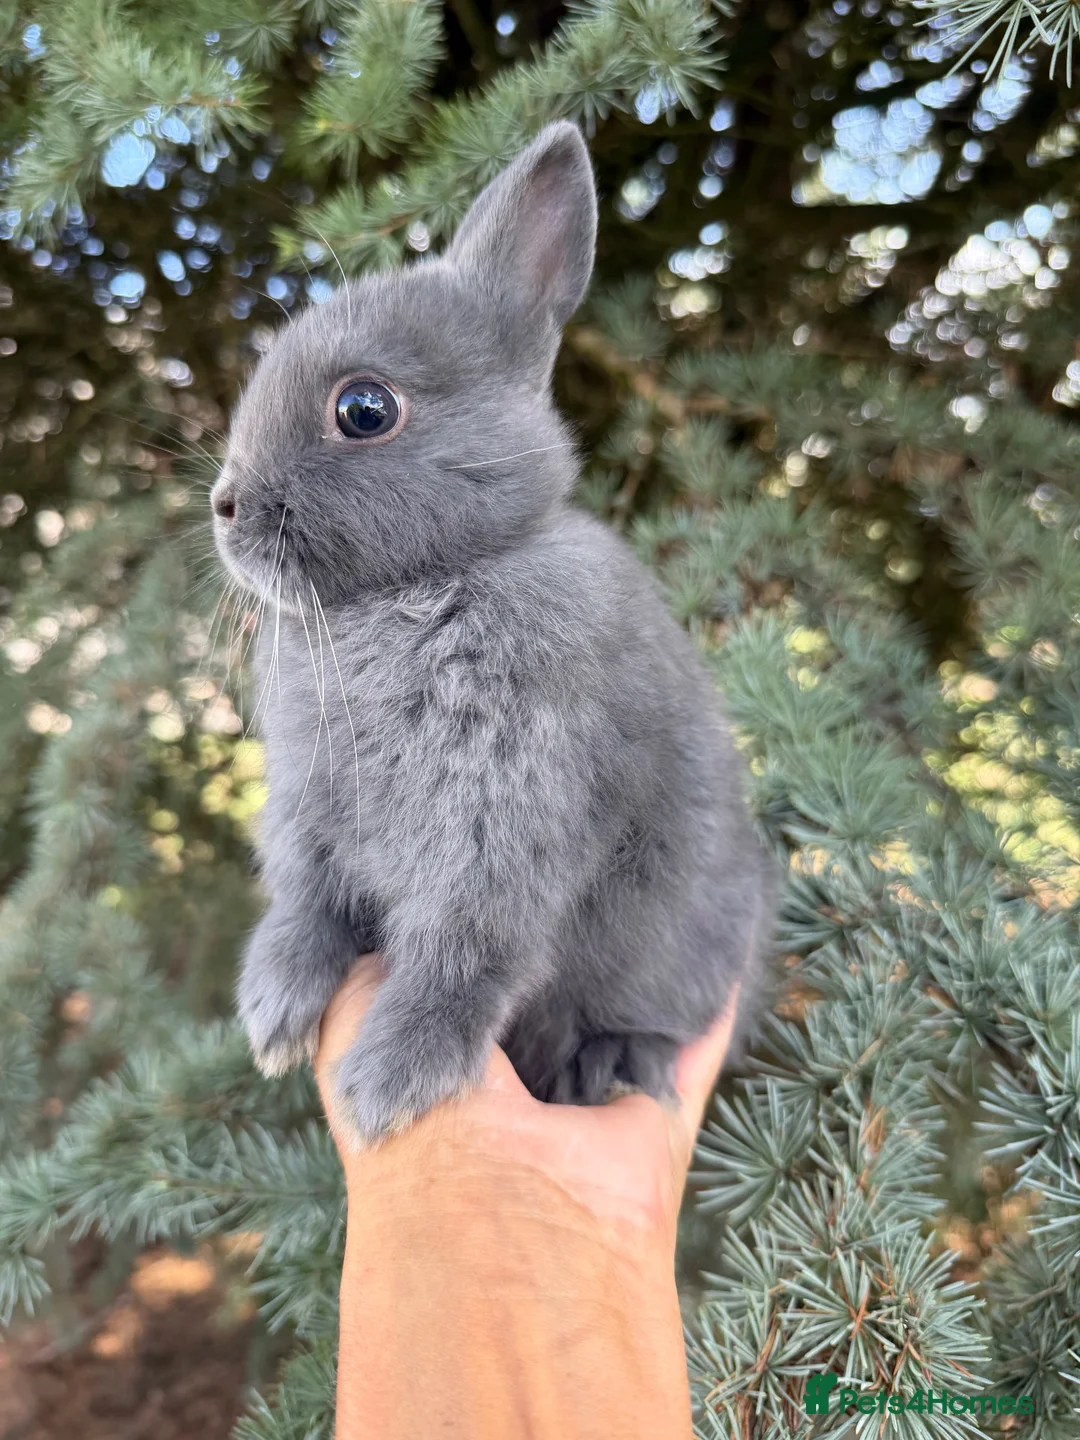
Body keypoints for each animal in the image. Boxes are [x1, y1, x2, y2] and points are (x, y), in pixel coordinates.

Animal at [211, 120, 774, 1143]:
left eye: (364, 409)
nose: (223, 506)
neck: (429, 579)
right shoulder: (314, 811)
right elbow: (306, 906)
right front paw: (273, 1013)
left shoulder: (508, 809)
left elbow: (468, 949)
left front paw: (391, 1082)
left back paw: (611, 1066)